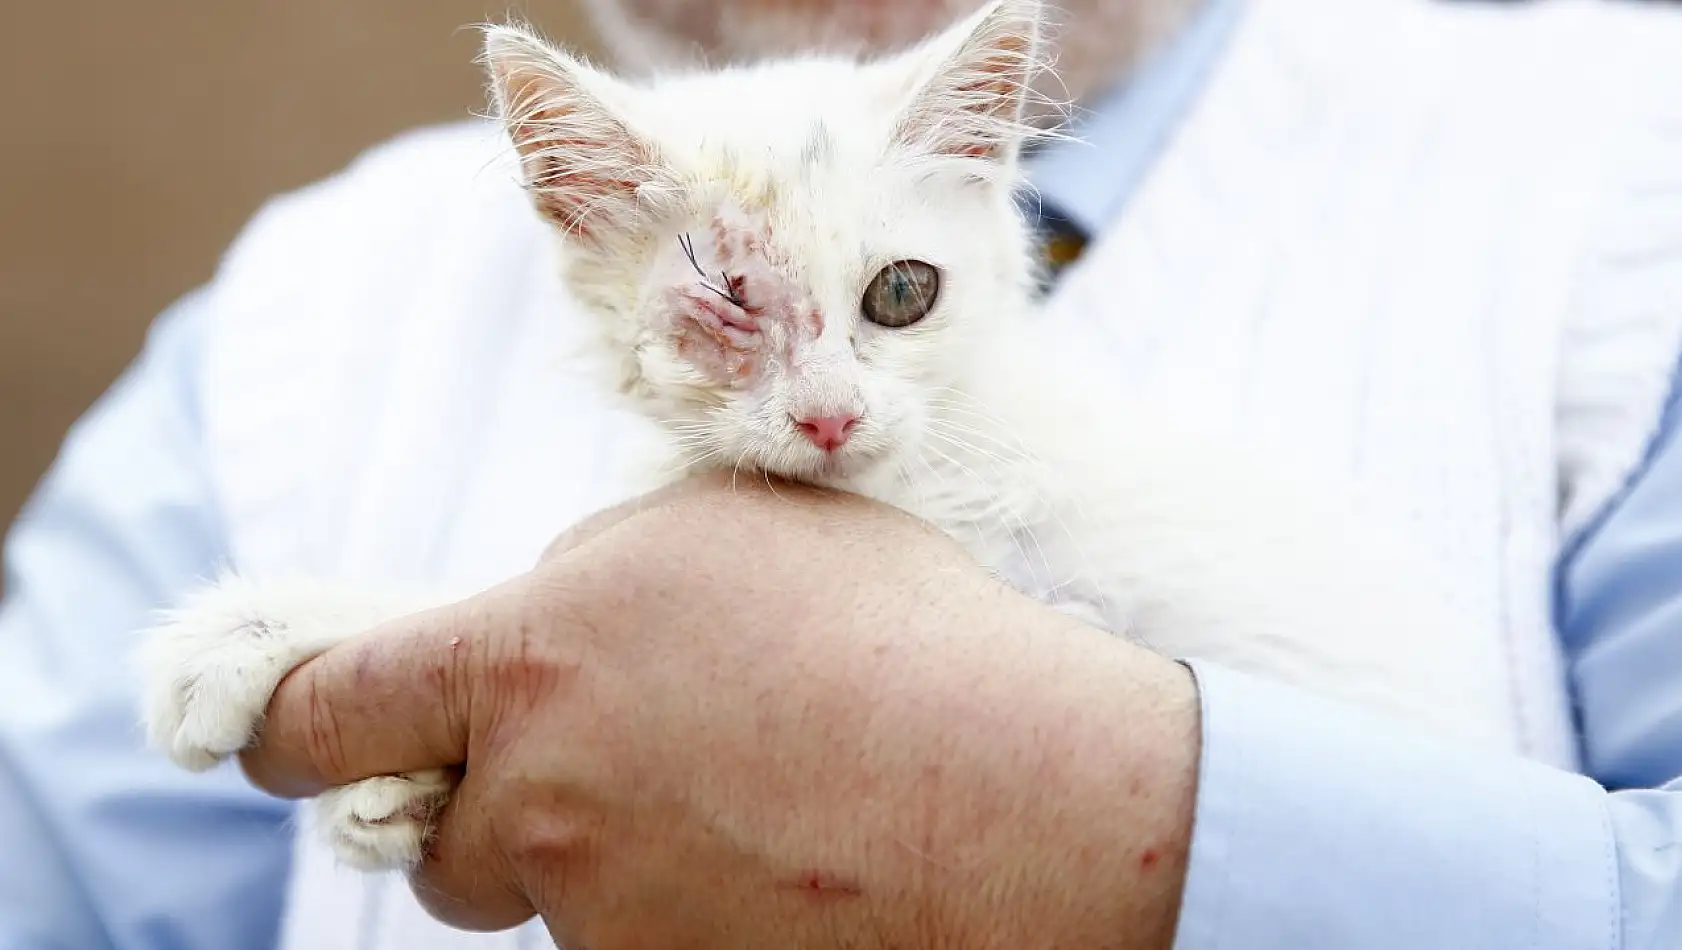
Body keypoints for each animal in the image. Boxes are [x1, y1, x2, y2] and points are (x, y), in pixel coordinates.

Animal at [134, 0, 1500, 874]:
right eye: (727, 307)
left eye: (900, 292)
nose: (830, 413)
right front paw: (379, 792)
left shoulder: (1028, 567)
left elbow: (492, 587)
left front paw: (248, 629)